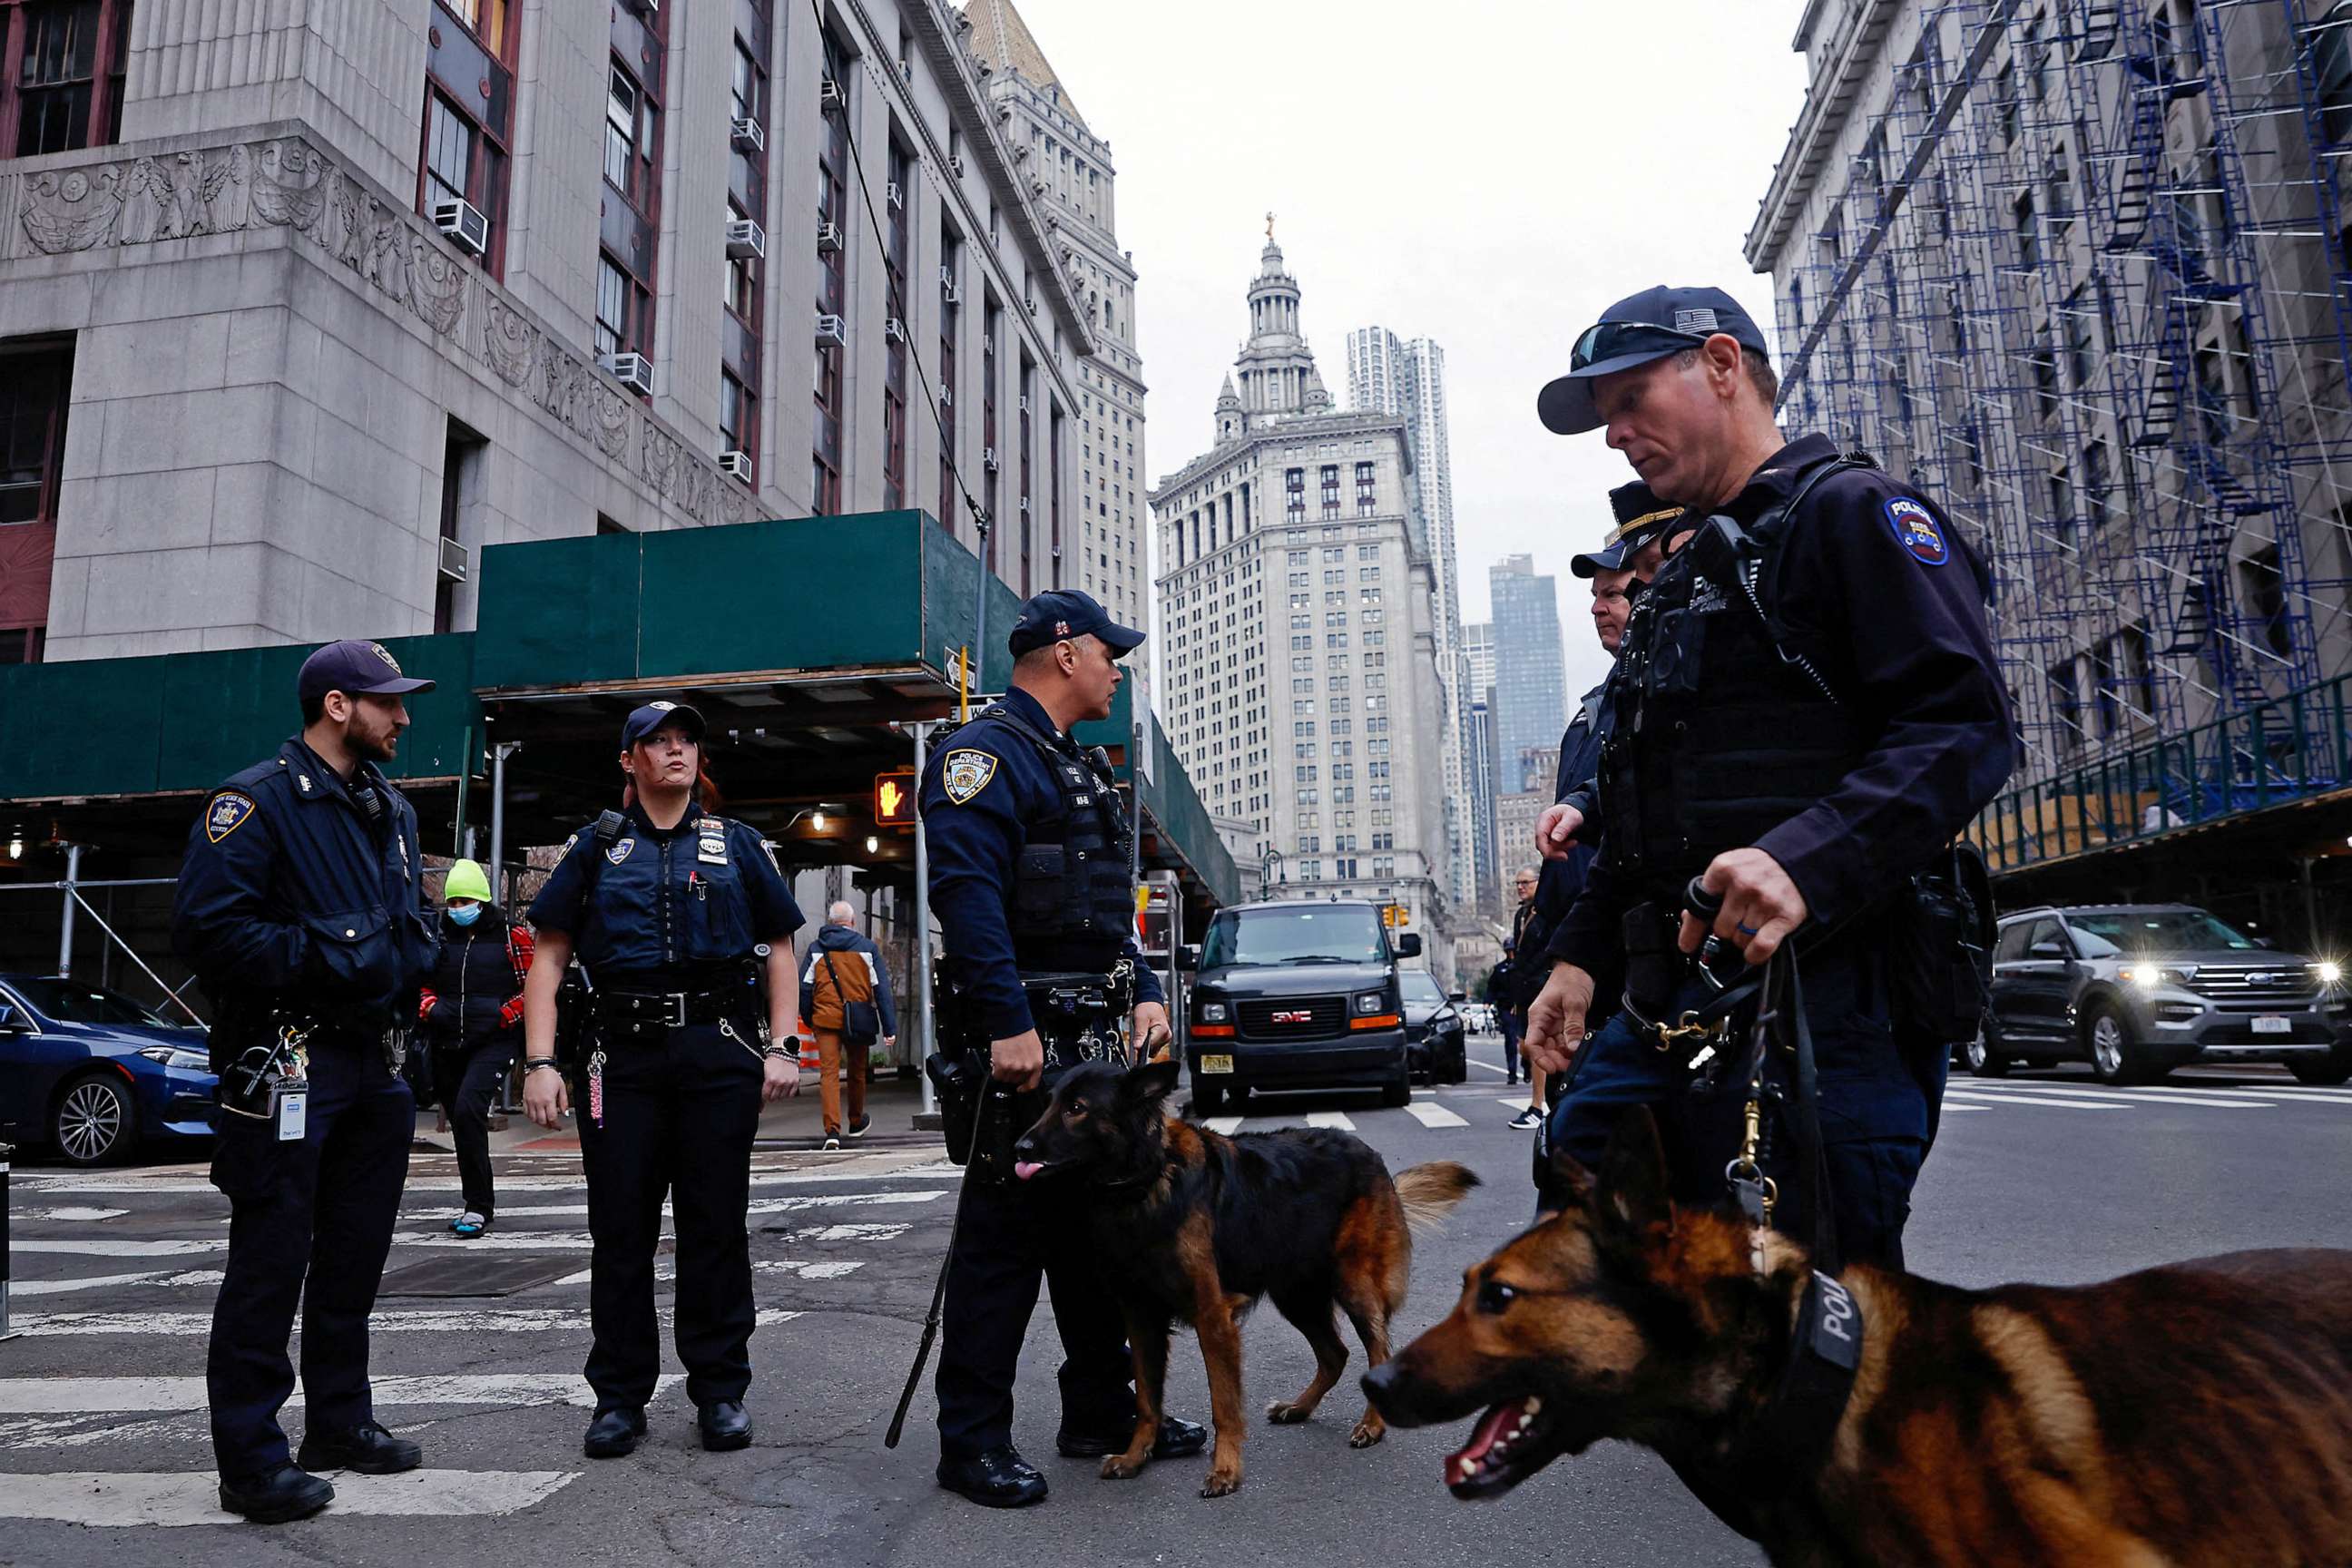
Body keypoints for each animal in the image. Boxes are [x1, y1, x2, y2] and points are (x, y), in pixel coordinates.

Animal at [1020, 1062, 1476, 1504]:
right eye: (1048, 1102)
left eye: (1076, 1108)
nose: (1020, 1149)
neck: (1145, 1180)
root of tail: (1366, 1151)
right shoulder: (1141, 1317)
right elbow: (1148, 1399)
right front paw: (1135, 1457)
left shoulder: (1213, 1318)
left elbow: (1223, 1406)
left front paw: (1225, 1471)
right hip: (1296, 1296)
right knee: (1335, 1354)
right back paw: (1299, 1408)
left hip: (1352, 1284)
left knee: (1376, 1350)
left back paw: (1372, 1426)